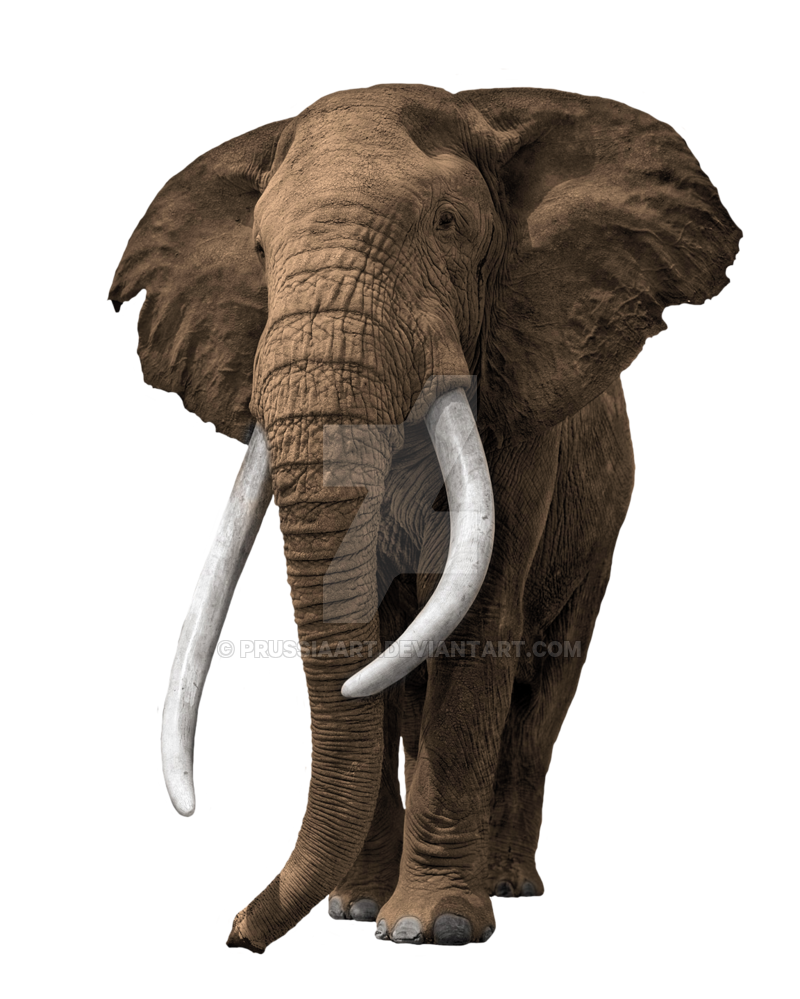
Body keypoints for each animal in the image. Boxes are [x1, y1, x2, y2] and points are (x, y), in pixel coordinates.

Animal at [108, 81, 740, 952]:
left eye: (447, 224)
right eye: (261, 252)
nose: (233, 928)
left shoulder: (518, 404)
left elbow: (479, 627)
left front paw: (430, 928)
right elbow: (371, 633)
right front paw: (353, 910)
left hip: (603, 527)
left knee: (542, 693)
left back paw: (509, 883)